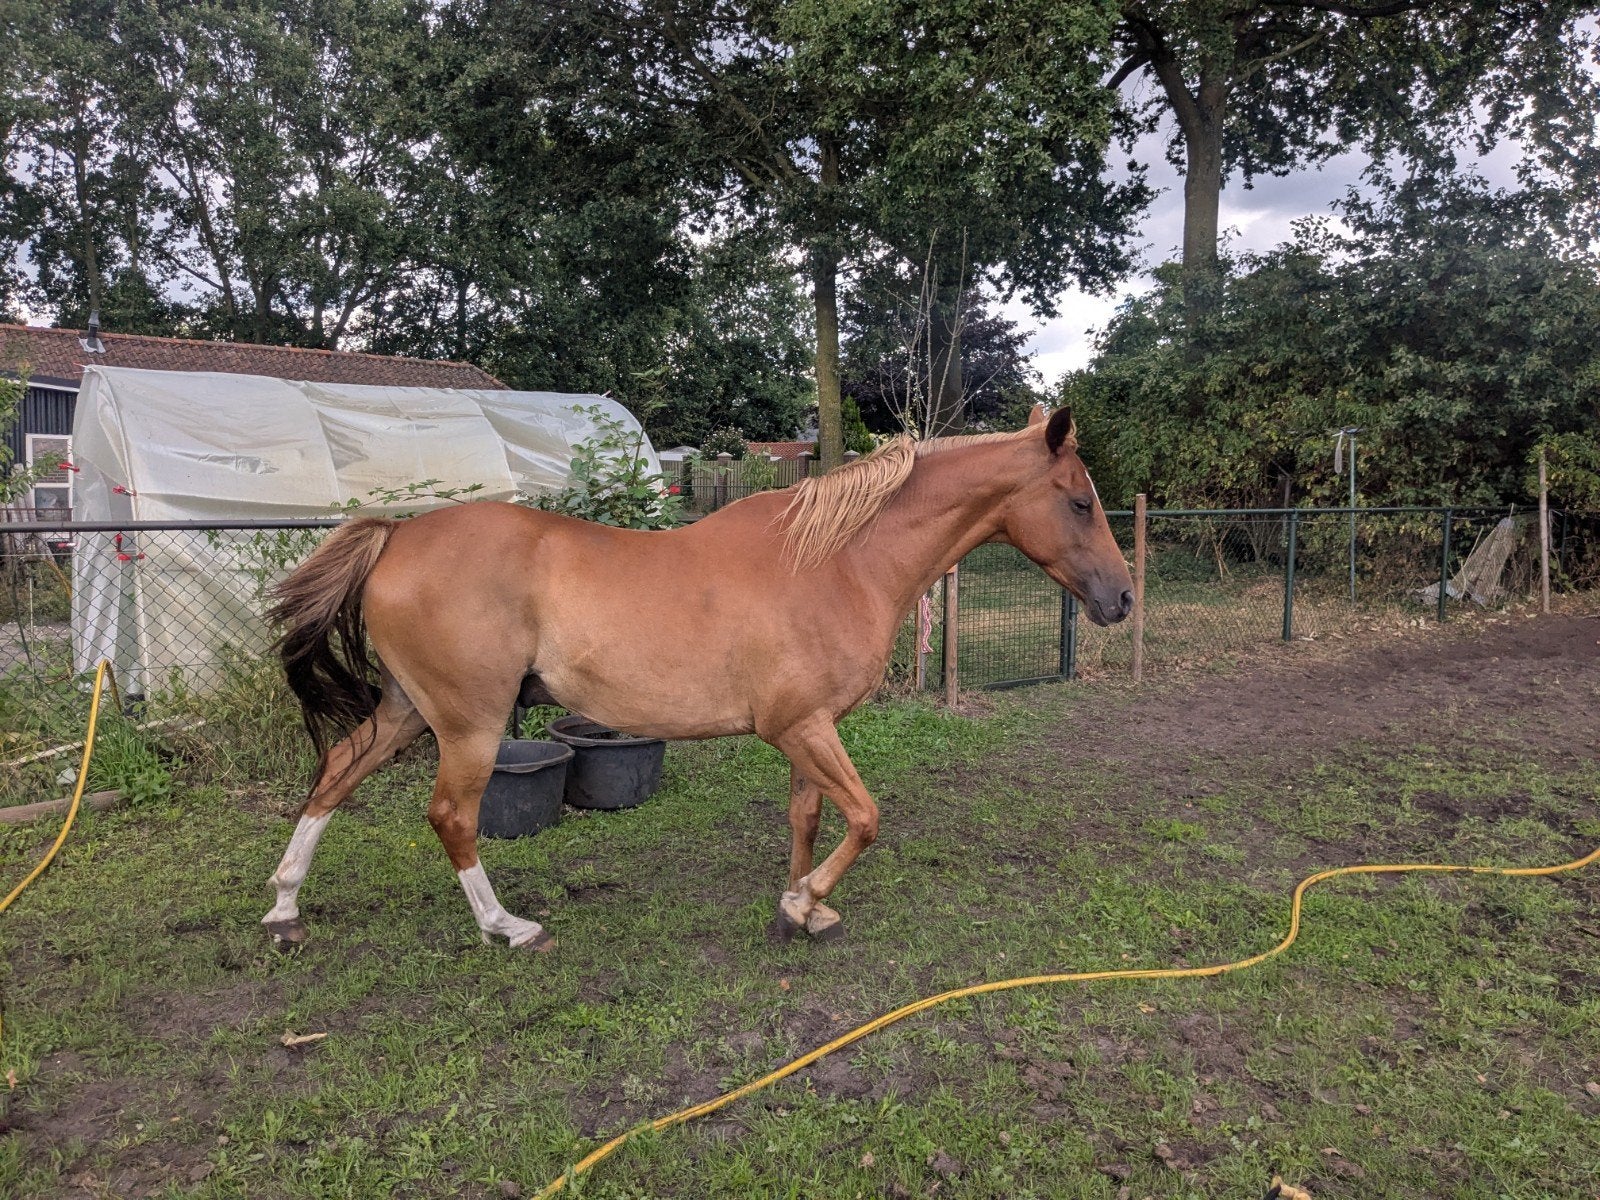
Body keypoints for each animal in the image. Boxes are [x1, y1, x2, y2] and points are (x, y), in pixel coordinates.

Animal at [262, 404, 1133, 950]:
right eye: (1080, 501)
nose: (1122, 599)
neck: (835, 561)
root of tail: (399, 537)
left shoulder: (808, 731)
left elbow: (809, 819)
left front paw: (799, 912)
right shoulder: (801, 728)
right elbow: (866, 818)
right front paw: (804, 900)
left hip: (410, 708)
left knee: (335, 773)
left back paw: (284, 907)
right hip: (469, 724)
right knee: (451, 817)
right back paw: (508, 927)